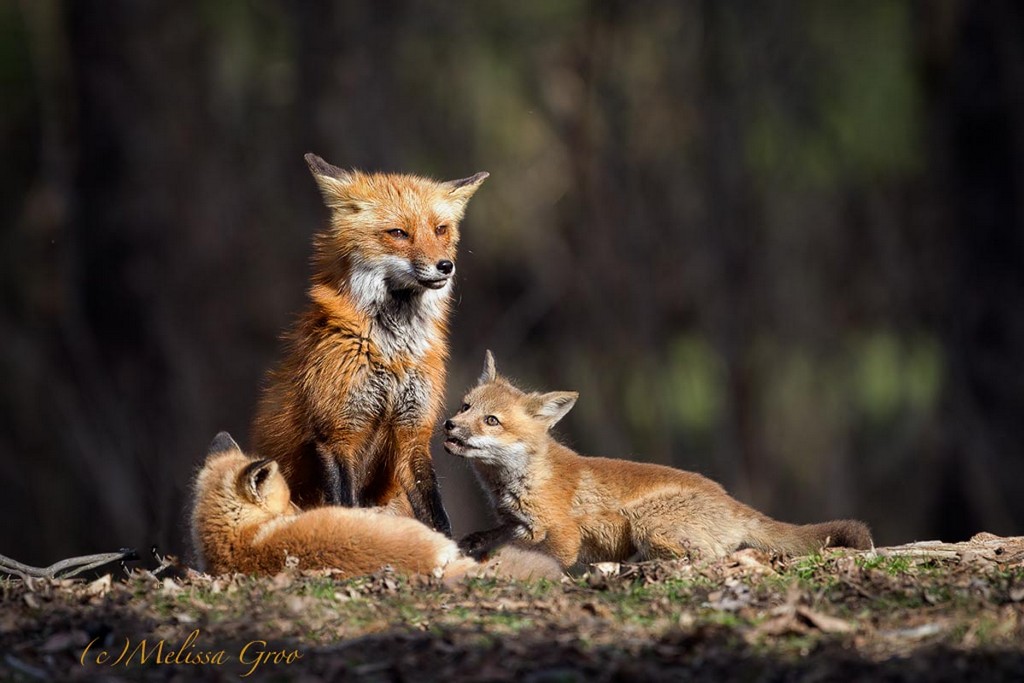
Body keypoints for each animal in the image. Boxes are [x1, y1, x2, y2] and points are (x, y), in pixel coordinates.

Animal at [249, 152, 485, 536]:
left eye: (441, 229)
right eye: (398, 233)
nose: (445, 266)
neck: (392, 351)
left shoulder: (412, 433)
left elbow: (438, 516)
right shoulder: (336, 434)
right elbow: (346, 508)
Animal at [442, 356, 872, 569]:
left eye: (491, 421)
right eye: (465, 407)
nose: (448, 426)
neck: (519, 480)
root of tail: (733, 502)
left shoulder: (563, 533)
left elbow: (541, 555)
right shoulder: (516, 524)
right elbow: (492, 537)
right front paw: (473, 544)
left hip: (647, 522)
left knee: (709, 558)